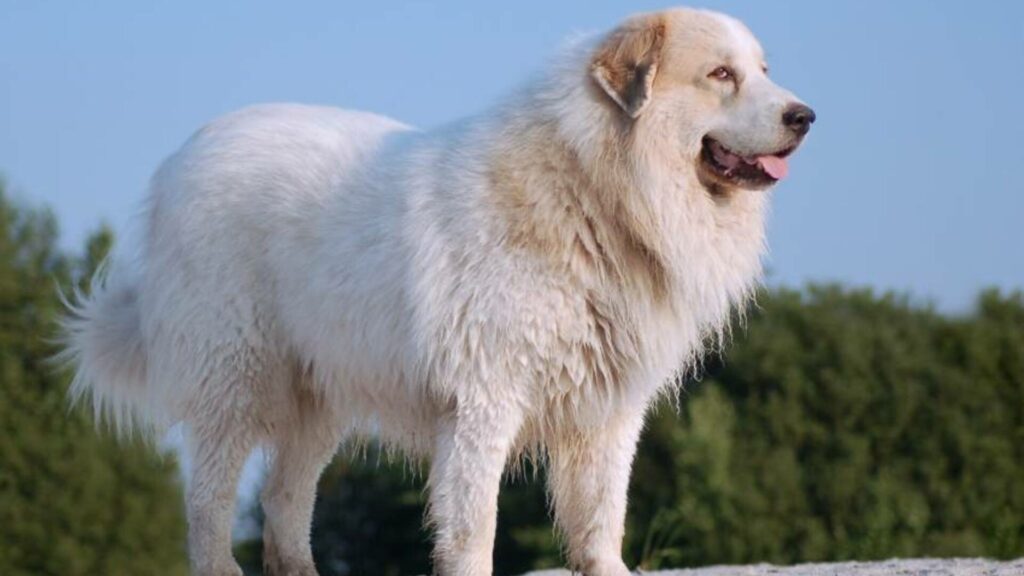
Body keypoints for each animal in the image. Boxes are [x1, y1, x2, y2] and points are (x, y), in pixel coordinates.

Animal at [64, 7, 815, 573]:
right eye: (721, 75)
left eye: (764, 71)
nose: (805, 115)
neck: (594, 192)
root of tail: (183, 157)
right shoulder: (485, 402)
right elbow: (475, 527)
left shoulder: (607, 409)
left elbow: (602, 519)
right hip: (237, 376)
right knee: (209, 503)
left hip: (320, 393)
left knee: (284, 498)